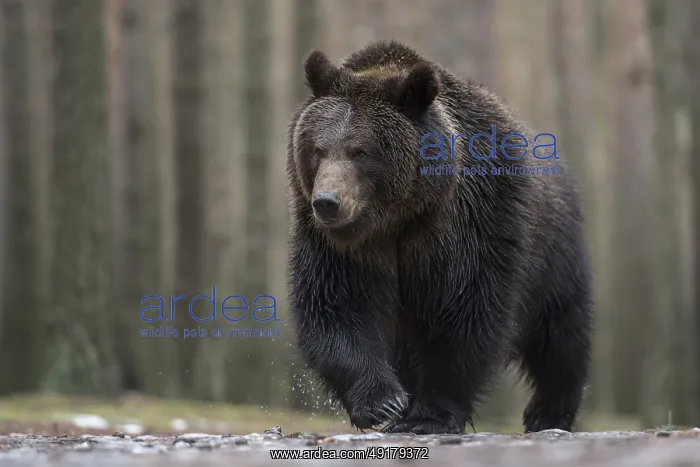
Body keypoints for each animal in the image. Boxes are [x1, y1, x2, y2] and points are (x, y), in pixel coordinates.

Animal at [285, 40, 593, 435]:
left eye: (361, 151)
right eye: (318, 149)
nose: (327, 202)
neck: (401, 217)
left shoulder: (473, 222)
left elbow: (464, 314)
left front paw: (427, 416)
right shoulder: (339, 246)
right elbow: (337, 305)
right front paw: (384, 403)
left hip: (553, 254)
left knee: (560, 333)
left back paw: (549, 411)